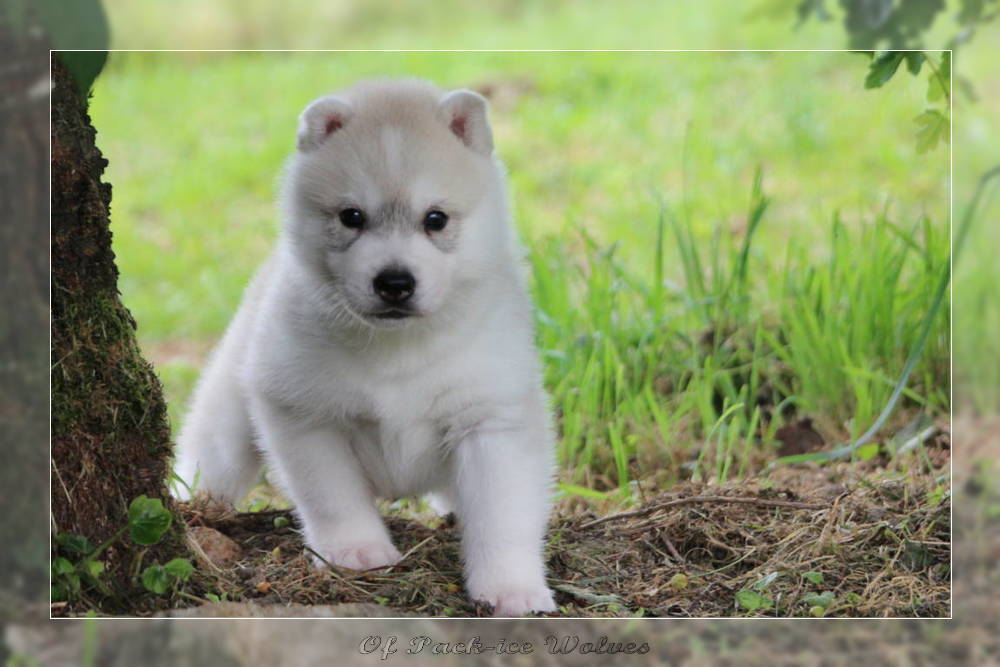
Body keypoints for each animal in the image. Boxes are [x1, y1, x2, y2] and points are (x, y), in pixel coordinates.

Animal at [175, 81, 560, 620]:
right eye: (351, 216)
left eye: (436, 219)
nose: (395, 282)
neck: (399, 351)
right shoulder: (303, 415)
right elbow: (334, 497)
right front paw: (357, 553)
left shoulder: (492, 420)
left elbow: (502, 516)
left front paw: (513, 591)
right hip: (228, 422)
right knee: (210, 459)